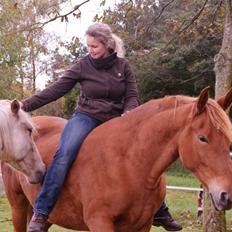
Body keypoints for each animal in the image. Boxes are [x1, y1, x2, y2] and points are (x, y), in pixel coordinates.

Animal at [1, 87, 232, 232]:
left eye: (229, 137)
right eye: (203, 138)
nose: (226, 195)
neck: (128, 163)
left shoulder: (141, 226)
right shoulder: (100, 222)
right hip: (18, 207)